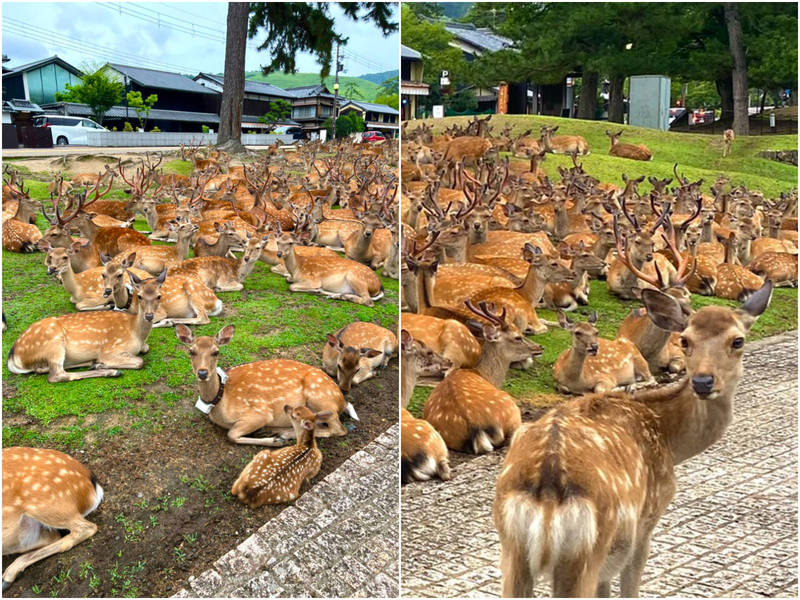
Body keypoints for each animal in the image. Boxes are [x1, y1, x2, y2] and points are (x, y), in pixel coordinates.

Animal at [5, 270, 166, 382]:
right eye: (139, 296)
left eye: (159, 296)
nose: (149, 316)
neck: (136, 333)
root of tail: (13, 355)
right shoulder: (110, 349)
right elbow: (140, 361)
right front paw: (105, 364)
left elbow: (145, 349)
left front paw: (99, 363)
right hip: (53, 344)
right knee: (57, 375)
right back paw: (111, 371)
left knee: (43, 369)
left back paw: (93, 363)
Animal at [175, 324, 356, 446]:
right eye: (191, 351)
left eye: (216, 352)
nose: (202, 373)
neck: (220, 400)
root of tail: (342, 401)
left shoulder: (260, 412)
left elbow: (231, 435)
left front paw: (275, 441)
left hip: (320, 398)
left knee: (339, 429)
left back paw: (283, 433)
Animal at [494, 282, 776, 600]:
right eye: (686, 341)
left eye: (737, 340)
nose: (703, 381)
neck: (669, 440)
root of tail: (547, 488)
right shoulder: (647, 520)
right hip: (585, 553)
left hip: (512, 550)